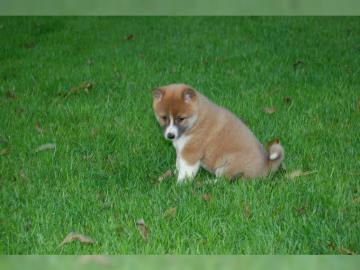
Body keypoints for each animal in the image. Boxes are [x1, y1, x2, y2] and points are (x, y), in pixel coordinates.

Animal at [152, 83, 284, 184]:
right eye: (164, 117)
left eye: (180, 118)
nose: (170, 135)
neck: (196, 120)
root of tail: (267, 166)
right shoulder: (181, 151)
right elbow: (179, 164)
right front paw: (174, 173)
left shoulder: (191, 153)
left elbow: (185, 171)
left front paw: (180, 184)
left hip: (228, 164)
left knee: (225, 180)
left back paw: (208, 183)